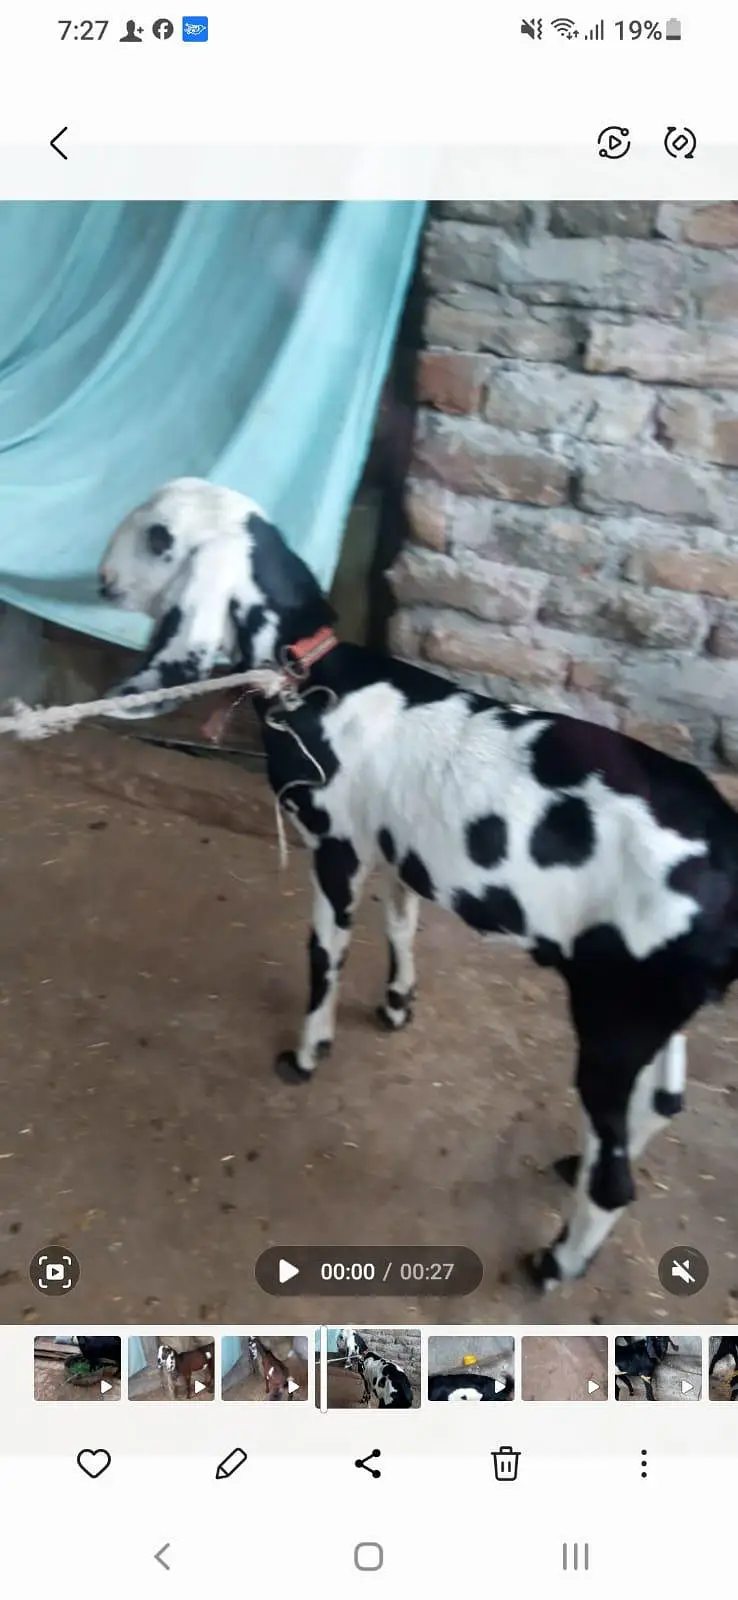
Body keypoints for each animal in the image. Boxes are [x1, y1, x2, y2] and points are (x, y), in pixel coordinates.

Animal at [99, 476, 738, 1289]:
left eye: (159, 537)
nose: (101, 582)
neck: (319, 684)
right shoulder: (397, 852)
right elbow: (401, 924)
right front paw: (397, 1005)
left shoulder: (337, 846)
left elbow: (325, 955)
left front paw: (306, 1053)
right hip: (657, 1007)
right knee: (659, 1105)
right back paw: (574, 1164)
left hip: (616, 1010)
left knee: (617, 1174)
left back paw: (553, 1263)